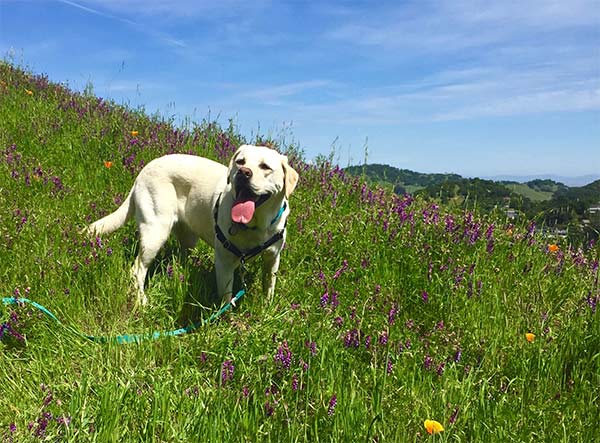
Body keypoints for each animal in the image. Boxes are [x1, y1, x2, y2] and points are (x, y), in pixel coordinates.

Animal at [86, 145, 298, 306]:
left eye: (265, 167)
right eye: (240, 161)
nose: (243, 173)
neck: (256, 225)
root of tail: (143, 171)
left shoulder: (272, 258)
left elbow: (269, 285)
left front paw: (266, 307)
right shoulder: (224, 261)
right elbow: (226, 297)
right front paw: (226, 320)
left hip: (188, 237)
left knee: (180, 258)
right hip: (155, 232)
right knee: (137, 269)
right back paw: (142, 300)